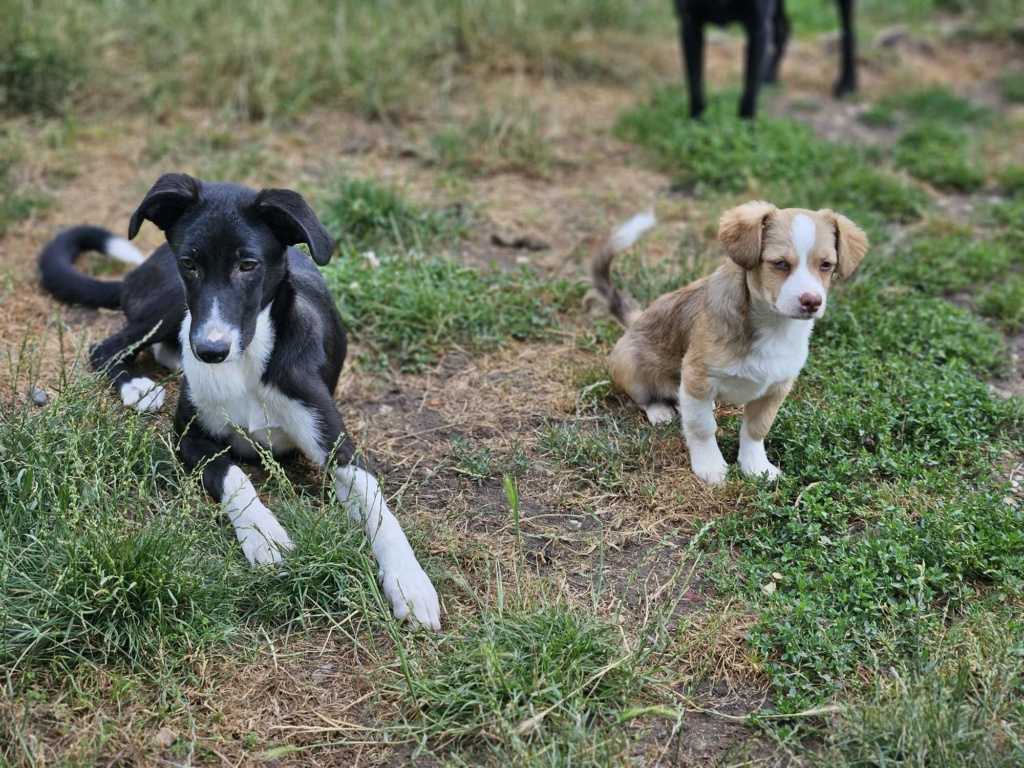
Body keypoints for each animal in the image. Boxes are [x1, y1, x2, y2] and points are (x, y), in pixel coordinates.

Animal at [38, 173, 440, 630]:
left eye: (248, 265)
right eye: (190, 263)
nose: (210, 351)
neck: (247, 361)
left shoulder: (335, 444)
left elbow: (378, 506)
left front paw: (410, 582)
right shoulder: (190, 439)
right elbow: (233, 476)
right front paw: (264, 534)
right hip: (172, 306)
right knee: (107, 346)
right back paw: (138, 386)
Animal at [589, 201, 868, 483]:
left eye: (826, 265)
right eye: (780, 263)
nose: (812, 301)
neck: (775, 327)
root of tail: (636, 319)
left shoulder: (777, 387)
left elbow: (756, 430)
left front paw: (756, 466)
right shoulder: (697, 378)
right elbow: (702, 427)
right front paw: (710, 466)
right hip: (630, 364)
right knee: (645, 396)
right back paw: (660, 410)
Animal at [671, 0, 856, 119]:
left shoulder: (758, 27)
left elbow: (749, 95)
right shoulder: (689, 24)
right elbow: (695, 87)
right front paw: (696, 127)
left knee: (849, 35)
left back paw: (847, 83)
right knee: (783, 28)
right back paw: (770, 74)